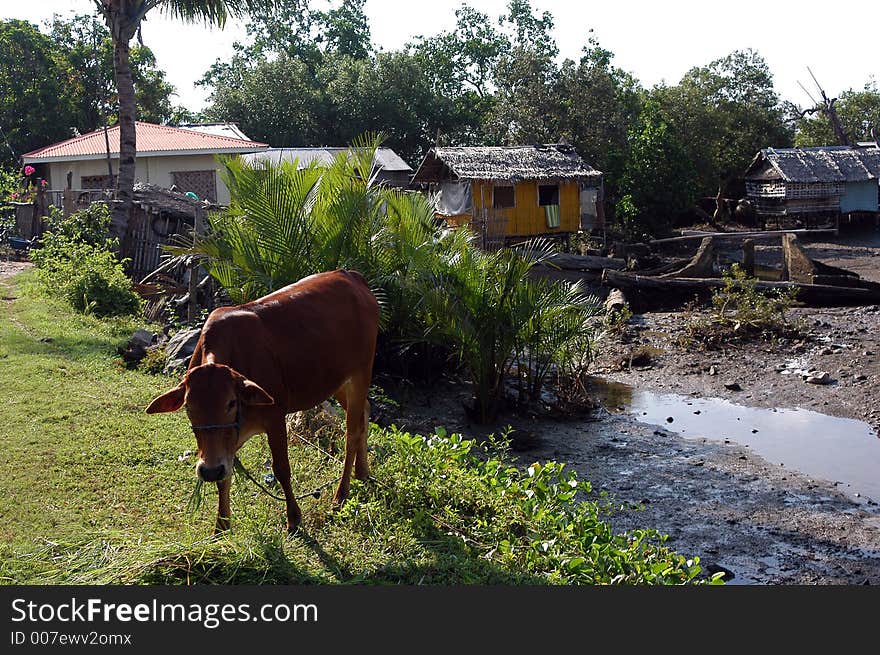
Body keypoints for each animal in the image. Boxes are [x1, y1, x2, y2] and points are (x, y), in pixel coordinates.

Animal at [145, 270, 378, 536]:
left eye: (231, 403)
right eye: (188, 407)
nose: (209, 470)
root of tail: (352, 276)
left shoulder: (275, 417)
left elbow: (282, 469)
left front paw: (293, 518)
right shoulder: (225, 444)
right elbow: (224, 477)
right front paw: (221, 525)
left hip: (360, 373)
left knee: (352, 432)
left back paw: (341, 495)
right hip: (338, 382)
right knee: (365, 413)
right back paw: (362, 472)